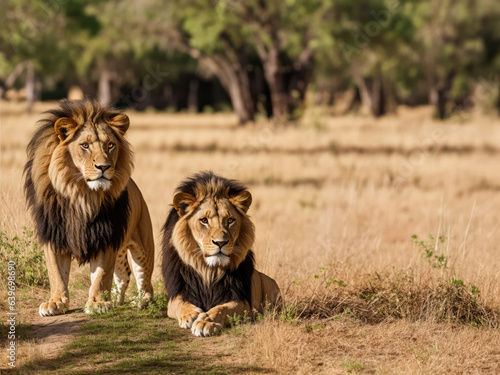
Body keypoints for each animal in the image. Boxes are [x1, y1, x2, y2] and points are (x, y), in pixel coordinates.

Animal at [24, 98, 153, 316]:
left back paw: (142, 302)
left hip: (143, 248)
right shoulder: (53, 234)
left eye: (110, 145)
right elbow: (56, 273)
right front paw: (55, 302)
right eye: (84, 145)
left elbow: (101, 274)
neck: (81, 195)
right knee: (123, 276)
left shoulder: (106, 235)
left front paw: (98, 303)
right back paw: (117, 300)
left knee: (145, 280)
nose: (104, 167)